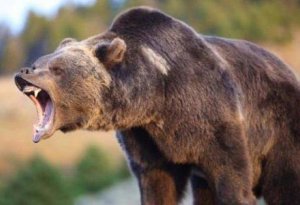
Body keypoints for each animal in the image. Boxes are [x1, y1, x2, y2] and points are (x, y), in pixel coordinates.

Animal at [14, 6, 300, 205]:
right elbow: (157, 184)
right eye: (39, 62)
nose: (24, 71)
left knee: (286, 183)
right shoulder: (146, 139)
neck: (157, 98)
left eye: (57, 69)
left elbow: (232, 179)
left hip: (282, 127)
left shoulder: (216, 118)